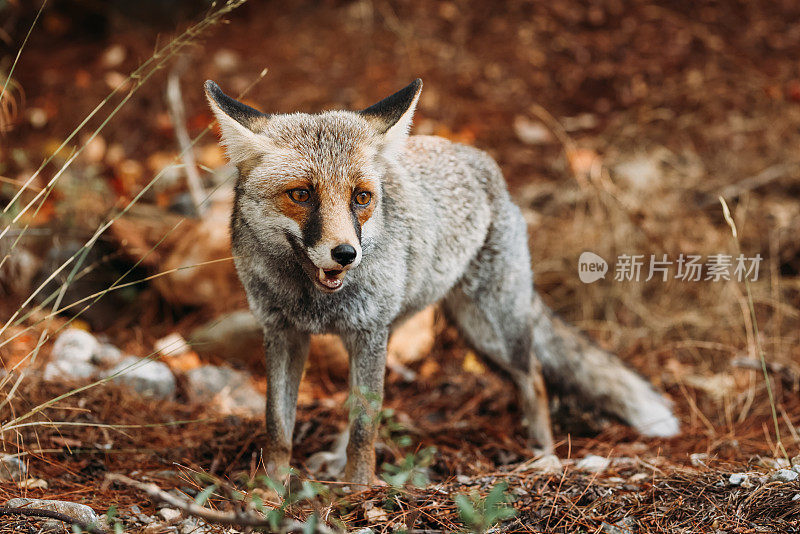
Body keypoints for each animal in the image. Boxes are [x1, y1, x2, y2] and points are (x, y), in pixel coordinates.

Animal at [203, 78, 680, 486]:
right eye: (301, 194)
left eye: (361, 197)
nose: (346, 254)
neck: (311, 302)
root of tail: (478, 158)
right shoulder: (284, 333)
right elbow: (279, 429)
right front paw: (270, 492)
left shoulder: (367, 332)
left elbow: (364, 433)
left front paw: (358, 492)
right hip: (400, 332)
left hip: (491, 330)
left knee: (535, 377)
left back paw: (545, 456)